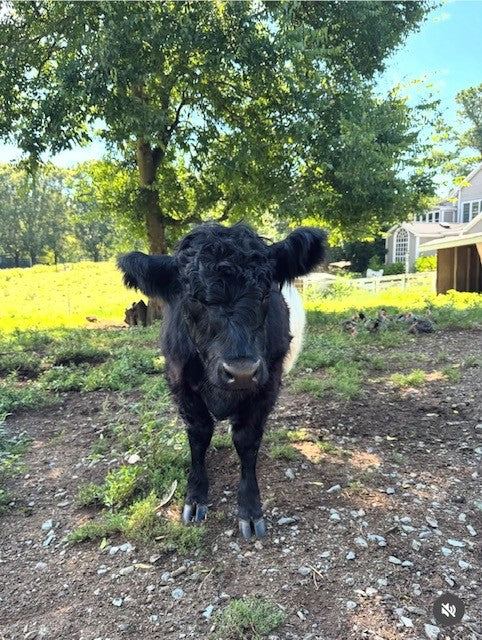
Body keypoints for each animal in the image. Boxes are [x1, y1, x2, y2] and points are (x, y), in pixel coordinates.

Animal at [118, 223, 325, 539]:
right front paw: (195, 497)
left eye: (265, 295)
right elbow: (199, 435)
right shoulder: (179, 382)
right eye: (193, 298)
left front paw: (250, 509)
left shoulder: (267, 383)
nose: (241, 371)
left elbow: (247, 441)